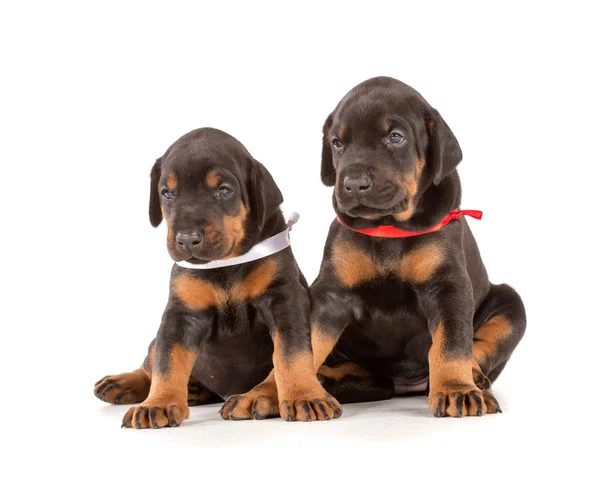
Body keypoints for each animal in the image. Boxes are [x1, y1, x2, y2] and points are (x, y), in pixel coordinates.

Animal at [96, 128, 344, 426]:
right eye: (167, 193)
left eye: (223, 190)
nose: (187, 239)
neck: (226, 264)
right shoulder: (180, 313)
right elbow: (167, 361)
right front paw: (158, 403)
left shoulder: (284, 298)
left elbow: (291, 352)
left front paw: (303, 395)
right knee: (151, 359)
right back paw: (124, 382)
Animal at [310, 77, 524, 418]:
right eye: (337, 143)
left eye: (395, 137)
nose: (353, 184)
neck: (388, 227)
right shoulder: (330, 294)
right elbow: (305, 344)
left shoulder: (448, 285)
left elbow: (451, 344)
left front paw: (455, 389)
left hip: (511, 303)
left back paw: (474, 378)